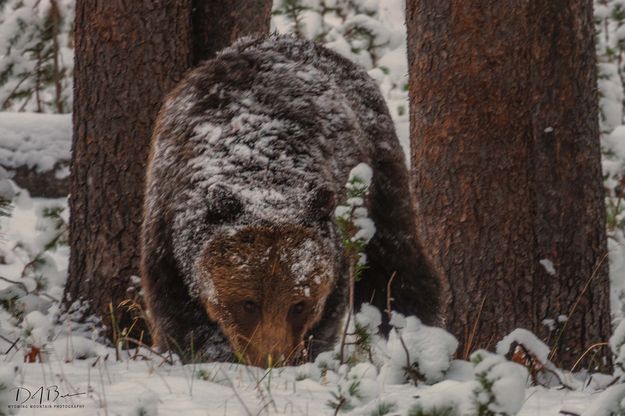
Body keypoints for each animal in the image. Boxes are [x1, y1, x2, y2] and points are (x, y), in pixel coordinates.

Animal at [141, 35, 442, 368]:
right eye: (248, 303)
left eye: (298, 305)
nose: (271, 359)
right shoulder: (167, 233)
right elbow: (179, 317)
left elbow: (329, 314)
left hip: (377, 173)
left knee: (396, 261)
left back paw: (419, 328)